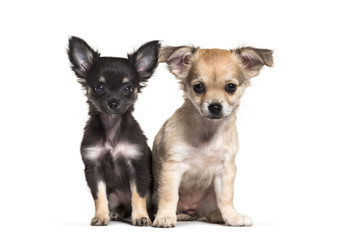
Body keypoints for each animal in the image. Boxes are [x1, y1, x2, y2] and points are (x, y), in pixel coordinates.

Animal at [67, 36, 159, 226]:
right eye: (99, 87)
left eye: (128, 88)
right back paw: (115, 213)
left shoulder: (138, 166)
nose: (113, 102)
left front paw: (141, 217)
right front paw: (101, 216)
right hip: (115, 197)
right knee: (121, 206)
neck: (112, 127)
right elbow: (99, 196)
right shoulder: (93, 168)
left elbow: (138, 195)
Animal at [151, 45, 272, 227]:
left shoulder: (226, 169)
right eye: (198, 87)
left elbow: (226, 198)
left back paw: (219, 216)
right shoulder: (172, 166)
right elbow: (169, 195)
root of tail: (193, 211)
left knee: (211, 211)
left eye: (231, 87)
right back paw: (180, 215)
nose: (215, 107)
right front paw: (165, 216)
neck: (208, 130)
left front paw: (233, 217)